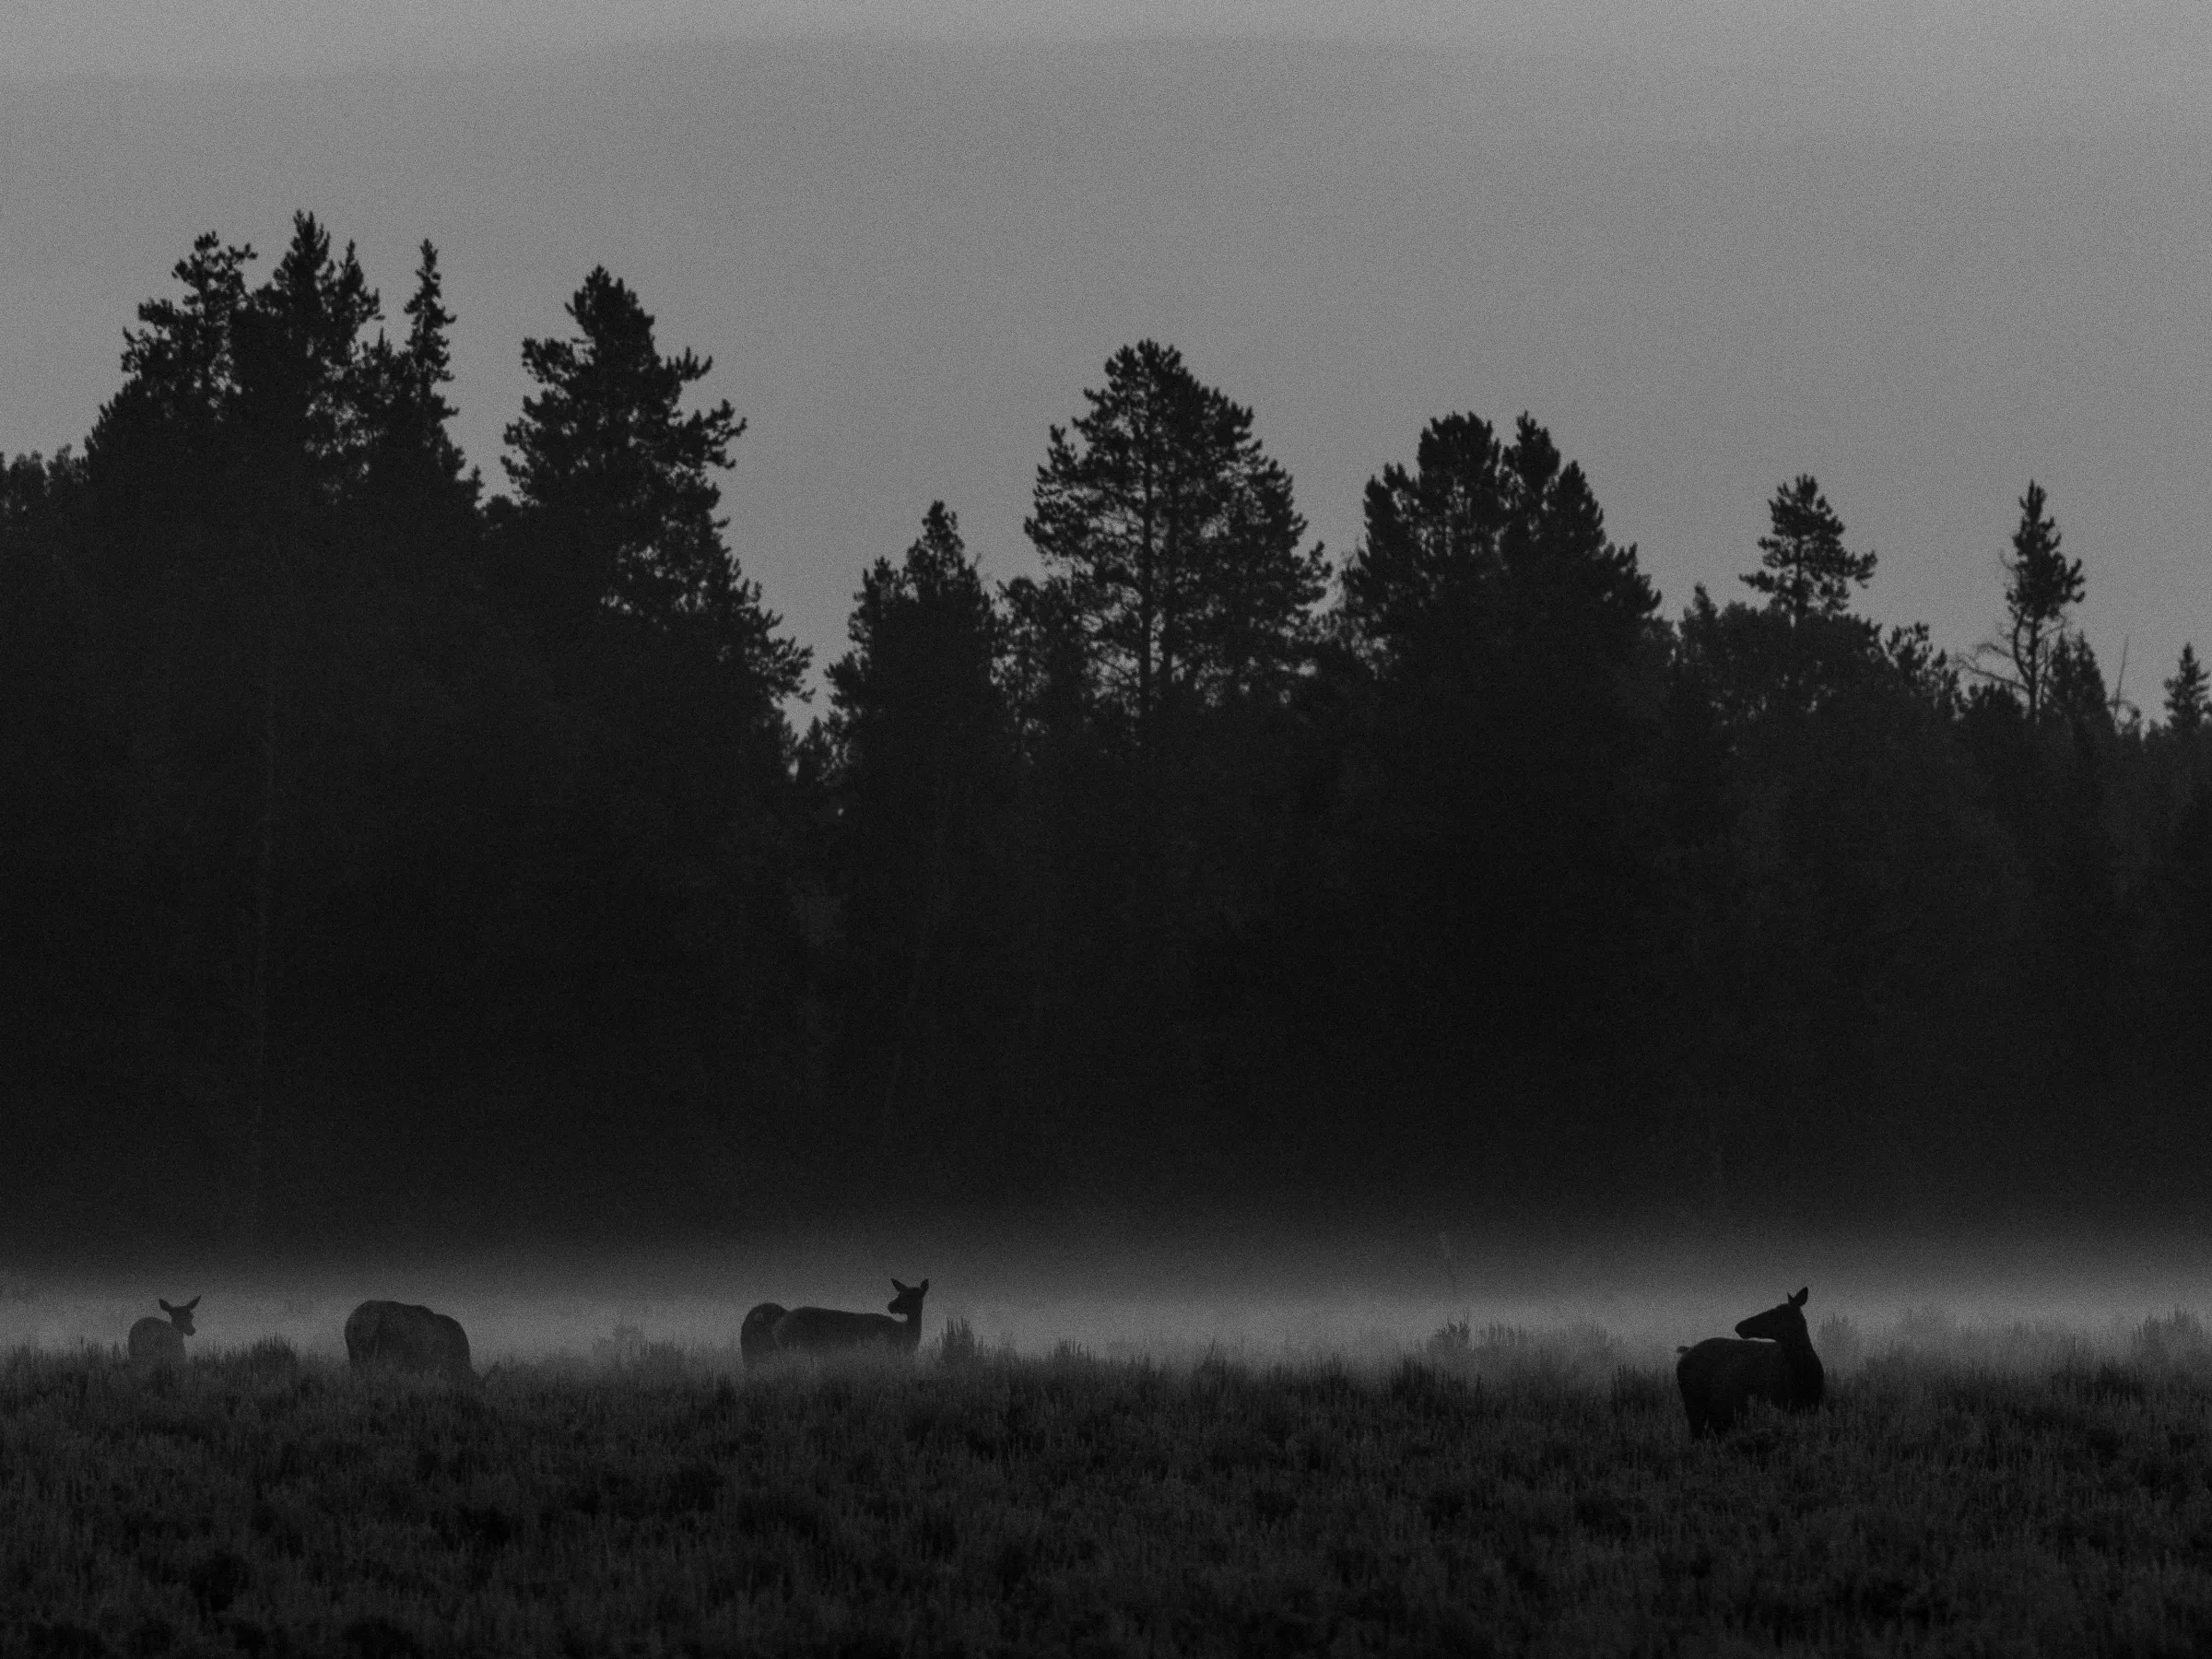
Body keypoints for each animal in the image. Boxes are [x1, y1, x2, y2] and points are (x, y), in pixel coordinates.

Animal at [743, 1279, 927, 1366]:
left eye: (913, 1295)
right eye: (900, 1293)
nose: (890, 1305)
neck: (905, 1334)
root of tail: (777, 1325)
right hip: (795, 1347)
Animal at [1676, 1286, 1825, 1436]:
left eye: (1773, 1314)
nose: (1739, 1326)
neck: (1803, 1375)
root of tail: (1684, 1354)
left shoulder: (1810, 1407)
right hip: (1695, 1405)